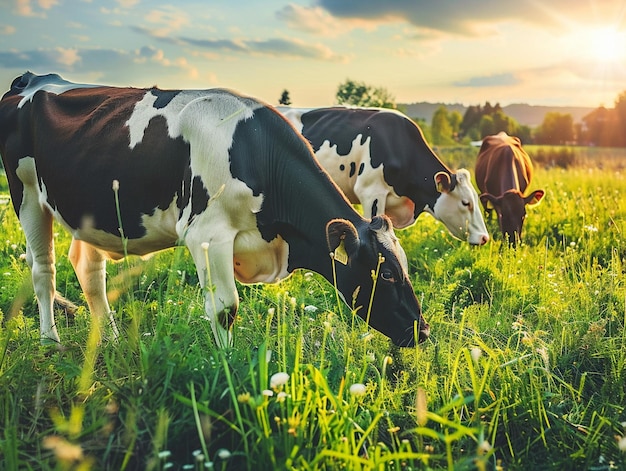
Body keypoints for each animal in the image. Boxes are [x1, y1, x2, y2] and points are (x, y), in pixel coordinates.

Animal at [0, 72, 426, 348]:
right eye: (386, 273)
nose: (423, 332)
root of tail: (32, 79)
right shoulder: (207, 235)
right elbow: (225, 308)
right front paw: (227, 365)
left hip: (92, 213)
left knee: (89, 271)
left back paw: (112, 338)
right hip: (27, 195)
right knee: (44, 270)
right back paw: (50, 341)